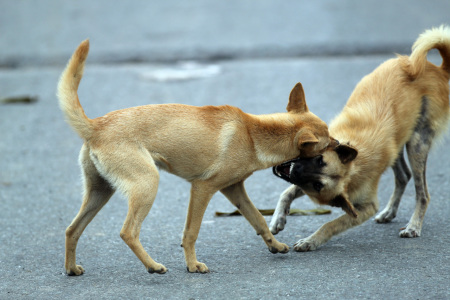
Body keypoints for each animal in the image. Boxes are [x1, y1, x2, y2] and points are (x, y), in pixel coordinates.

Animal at [58, 41, 328, 276]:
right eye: (327, 142)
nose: (339, 145)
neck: (253, 134)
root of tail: (96, 125)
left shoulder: (234, 189)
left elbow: (259, 219)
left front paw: (275, 245)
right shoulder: (202, 188)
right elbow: (191, 232)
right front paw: (192, 265)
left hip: (100, 191)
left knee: (72, 229)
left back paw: (71, 269)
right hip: (146, 184)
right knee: (128, 232)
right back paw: (153, 266)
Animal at [270, 25, 450, 251]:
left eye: (318, 185)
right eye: (319, 160)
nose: (296, 170)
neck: (352, 169)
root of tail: (439, 70)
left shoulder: (366, 208)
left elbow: (331, 224)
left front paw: (311, 240)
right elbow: (287, 192)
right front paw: (277, 219)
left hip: (417, 144)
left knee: (423, 193)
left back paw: (413, 226)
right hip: (400, 142)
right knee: (403, 176)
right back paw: (390, 212)